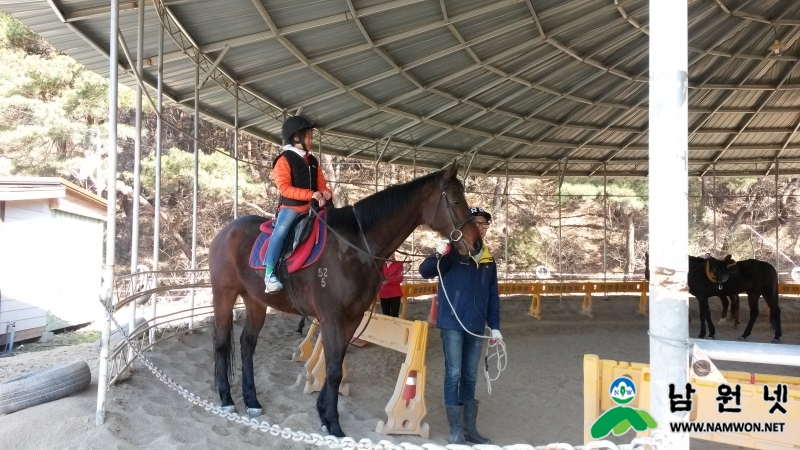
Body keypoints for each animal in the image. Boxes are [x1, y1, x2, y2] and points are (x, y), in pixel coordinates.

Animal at [208, 163, 482, 438]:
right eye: (456, 199)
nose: (477, 243)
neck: (356, 245)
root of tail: (225, 231)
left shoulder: (352, 318)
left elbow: (336, 365)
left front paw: (323, 413)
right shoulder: (332, 318)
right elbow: (331, 370)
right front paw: (333, 423)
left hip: (255, 301)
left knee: (247, 344)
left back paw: (252, 401)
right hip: (224, 294)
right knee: (221, 344)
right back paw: (227, 399)